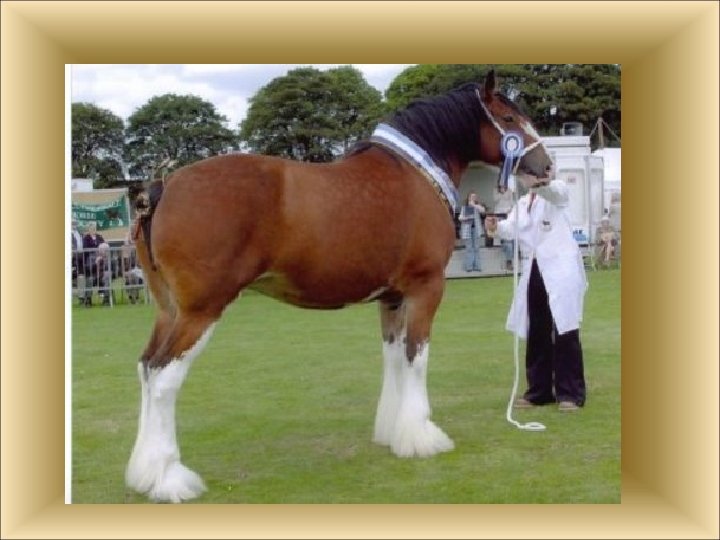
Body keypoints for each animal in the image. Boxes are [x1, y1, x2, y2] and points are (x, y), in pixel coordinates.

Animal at [125, 70, 553, 502]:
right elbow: (416, 358)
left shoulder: (392, 299)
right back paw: (170, 479)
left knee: (145, 368)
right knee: (163, 378)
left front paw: (392, 432)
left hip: (169, 311)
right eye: (510, 120)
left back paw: (144, 473)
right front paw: (422, 437)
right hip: (201, 312)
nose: (547, 167)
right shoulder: (425, 289)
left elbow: (393, 357)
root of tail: (160, 190)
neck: (415, 175)